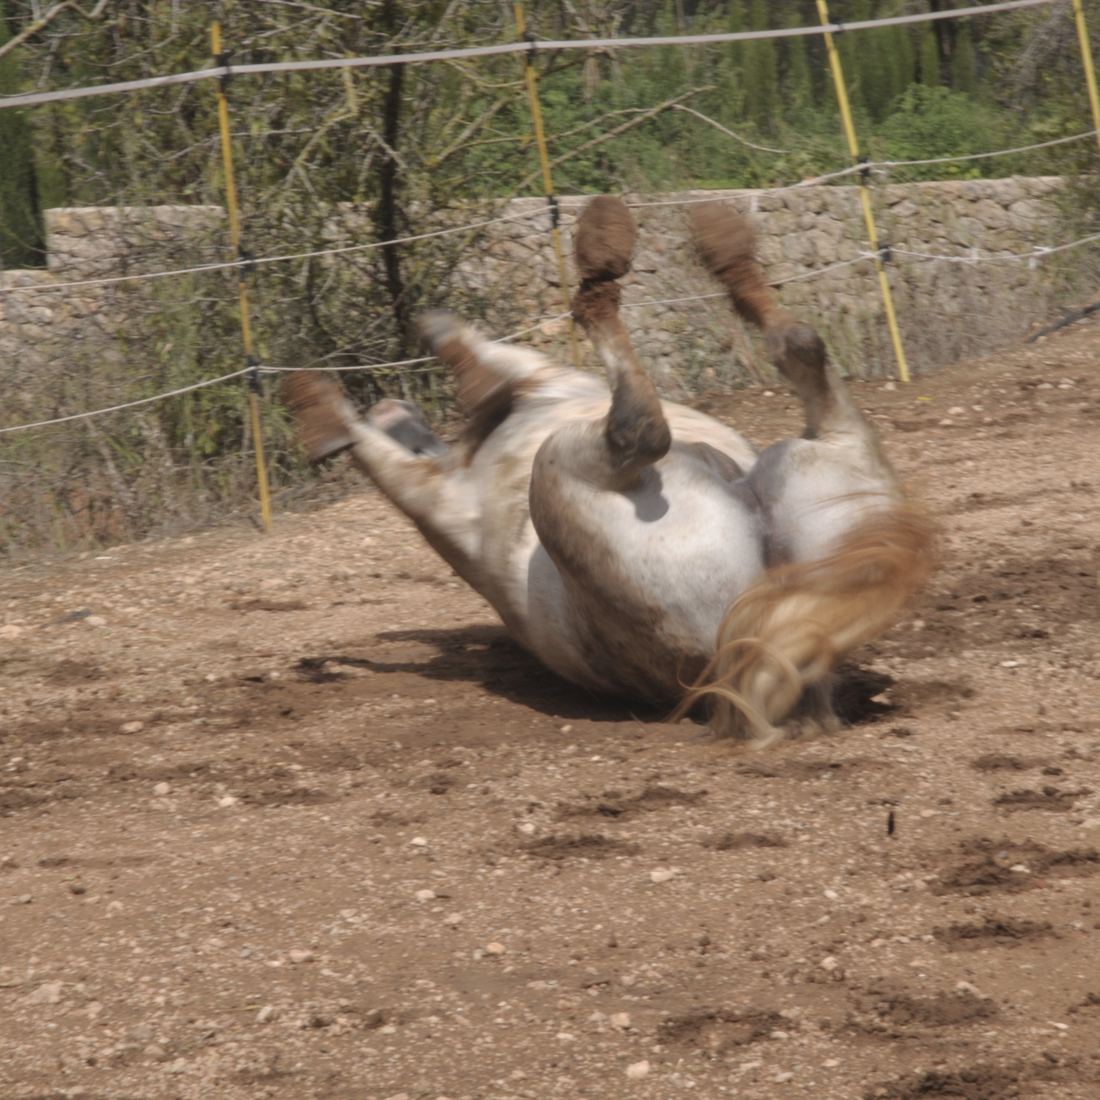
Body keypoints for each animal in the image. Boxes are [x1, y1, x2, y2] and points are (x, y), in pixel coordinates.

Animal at [283, 198, 933, 746]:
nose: (393, 408)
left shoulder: (497, 423)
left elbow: (410, 418)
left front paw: (330, 407)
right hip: (826, 465)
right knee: (786, 351)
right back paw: (700, 253)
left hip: (569, 469)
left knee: (645, 425)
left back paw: (618, 259)